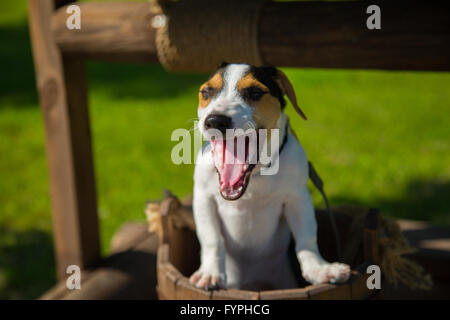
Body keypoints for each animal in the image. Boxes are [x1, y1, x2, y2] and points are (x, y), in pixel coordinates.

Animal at [188, 62, 350, 290]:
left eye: (255, 92)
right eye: (206, 92)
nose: (215, 121)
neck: (256, 175)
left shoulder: (298, 198)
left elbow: (307, 238)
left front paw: (319, 269)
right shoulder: (203, 198)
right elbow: (211, 238)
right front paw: (210, 273)